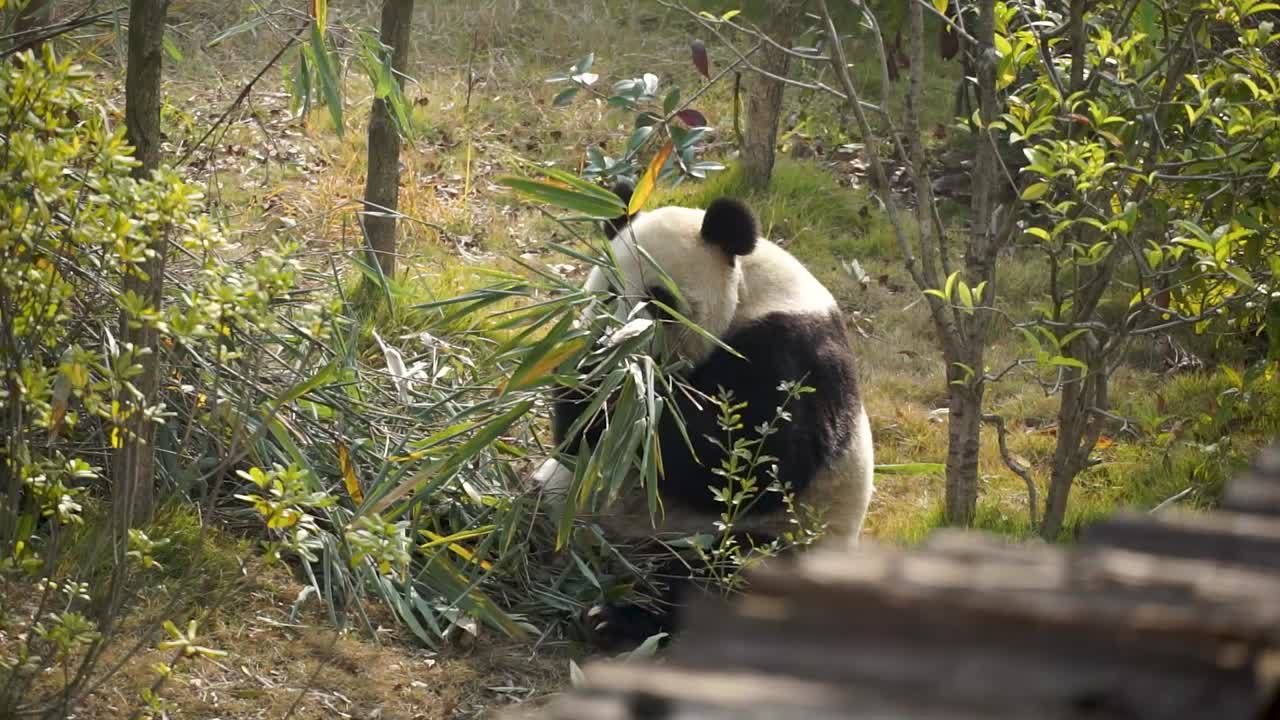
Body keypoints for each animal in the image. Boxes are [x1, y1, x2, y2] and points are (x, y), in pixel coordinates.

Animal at [533, 182, 873, 647]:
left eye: (659, 301)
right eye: (609, 292)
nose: (616, 345)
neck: (747, 291)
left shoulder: (792, 351)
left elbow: (759, 460)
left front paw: (619, 397)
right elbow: (578, 441)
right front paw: (592, 380)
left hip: (780, 538)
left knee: (719, 574)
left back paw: (617, 617)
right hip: (568, 497)